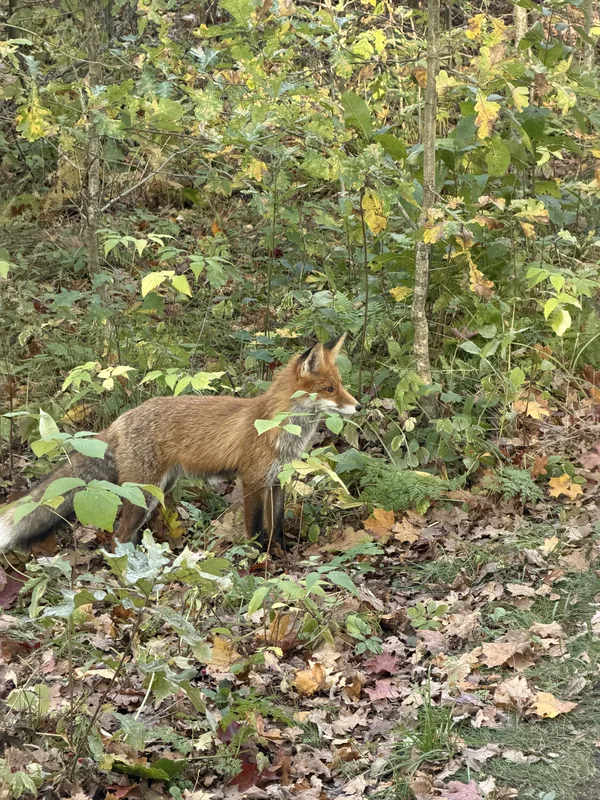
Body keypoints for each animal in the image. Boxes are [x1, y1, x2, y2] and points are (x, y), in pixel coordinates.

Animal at [0, 334, 361, 554]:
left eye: (340, 385)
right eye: (329, 389)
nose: (358, 406)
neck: (276, 427)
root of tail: (119, 420)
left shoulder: (277, 481)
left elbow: (278, 527)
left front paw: (282, 556)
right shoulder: (253, 480)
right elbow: (257, 531)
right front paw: (260, 565)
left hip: (160, 487)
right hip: (143, 494)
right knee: (118, 537)